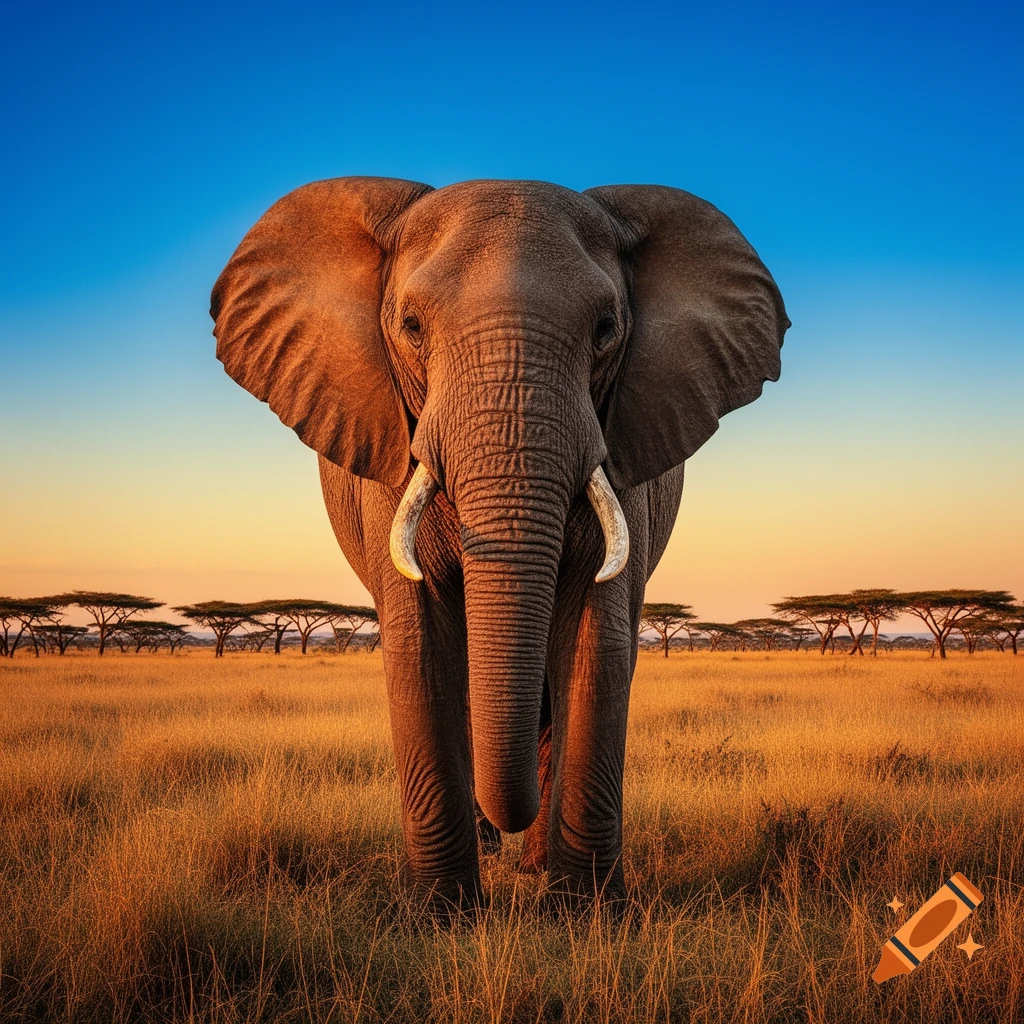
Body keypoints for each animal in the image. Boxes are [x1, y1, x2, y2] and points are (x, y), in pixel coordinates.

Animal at [210, 177, 788, 912]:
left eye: (606, 329)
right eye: (411, 327)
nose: (511, 823)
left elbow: (598, 643)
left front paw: (584, 915)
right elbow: (421, 647)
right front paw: (443, 916)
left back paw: (536, 867)